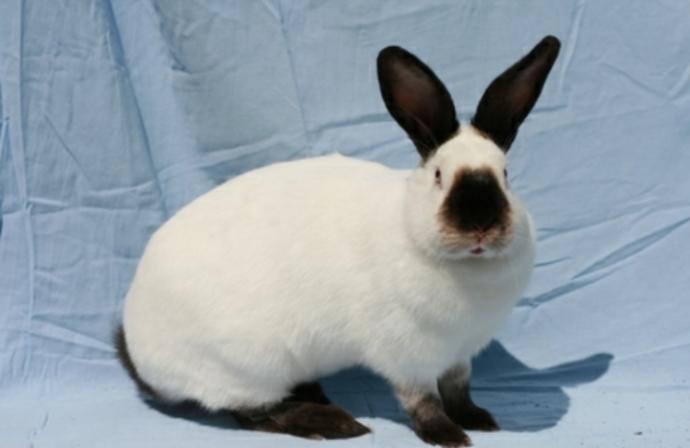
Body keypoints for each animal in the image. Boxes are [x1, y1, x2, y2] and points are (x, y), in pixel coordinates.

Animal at [117, 35, 560, 446]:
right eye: (439, 176)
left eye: (505, 176)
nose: (480, 226)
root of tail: (140, 353)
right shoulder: (408, 356)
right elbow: (423, 401)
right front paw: (448, 434)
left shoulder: (459, 354)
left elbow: (458, 391)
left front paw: (478, 418)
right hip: (247, 368)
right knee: (252, 413)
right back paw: (333, 423)